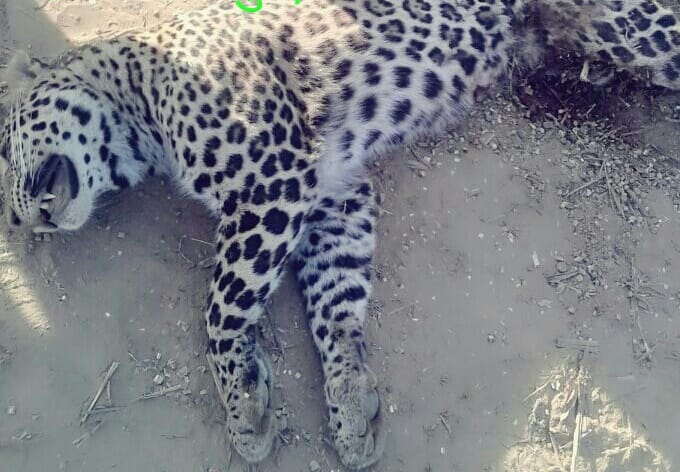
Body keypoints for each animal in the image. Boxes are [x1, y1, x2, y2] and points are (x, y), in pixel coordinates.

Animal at [1, 0, 679, 469]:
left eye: (4, 152)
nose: (20, 221)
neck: (134, 104)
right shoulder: (333, 194)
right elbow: (336, 301)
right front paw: (351, 406)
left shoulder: (275, 178)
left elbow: (220, 305)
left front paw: (245, 411)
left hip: (636, 27)